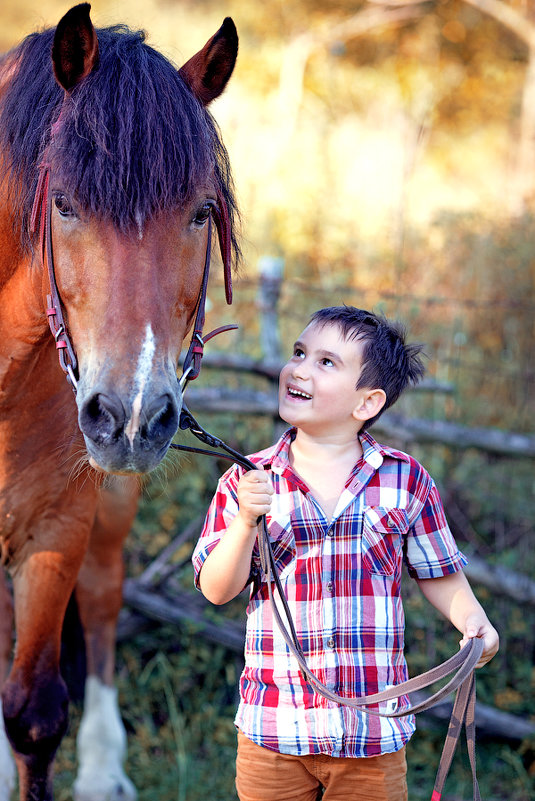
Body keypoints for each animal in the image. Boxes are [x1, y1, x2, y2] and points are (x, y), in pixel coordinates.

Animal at [0, 6, 240, 800]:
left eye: (200, 212)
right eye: (63, 205)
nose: (132, 416)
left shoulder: (57, 526)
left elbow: (35, 713)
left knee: (104, 601)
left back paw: (104, 765)